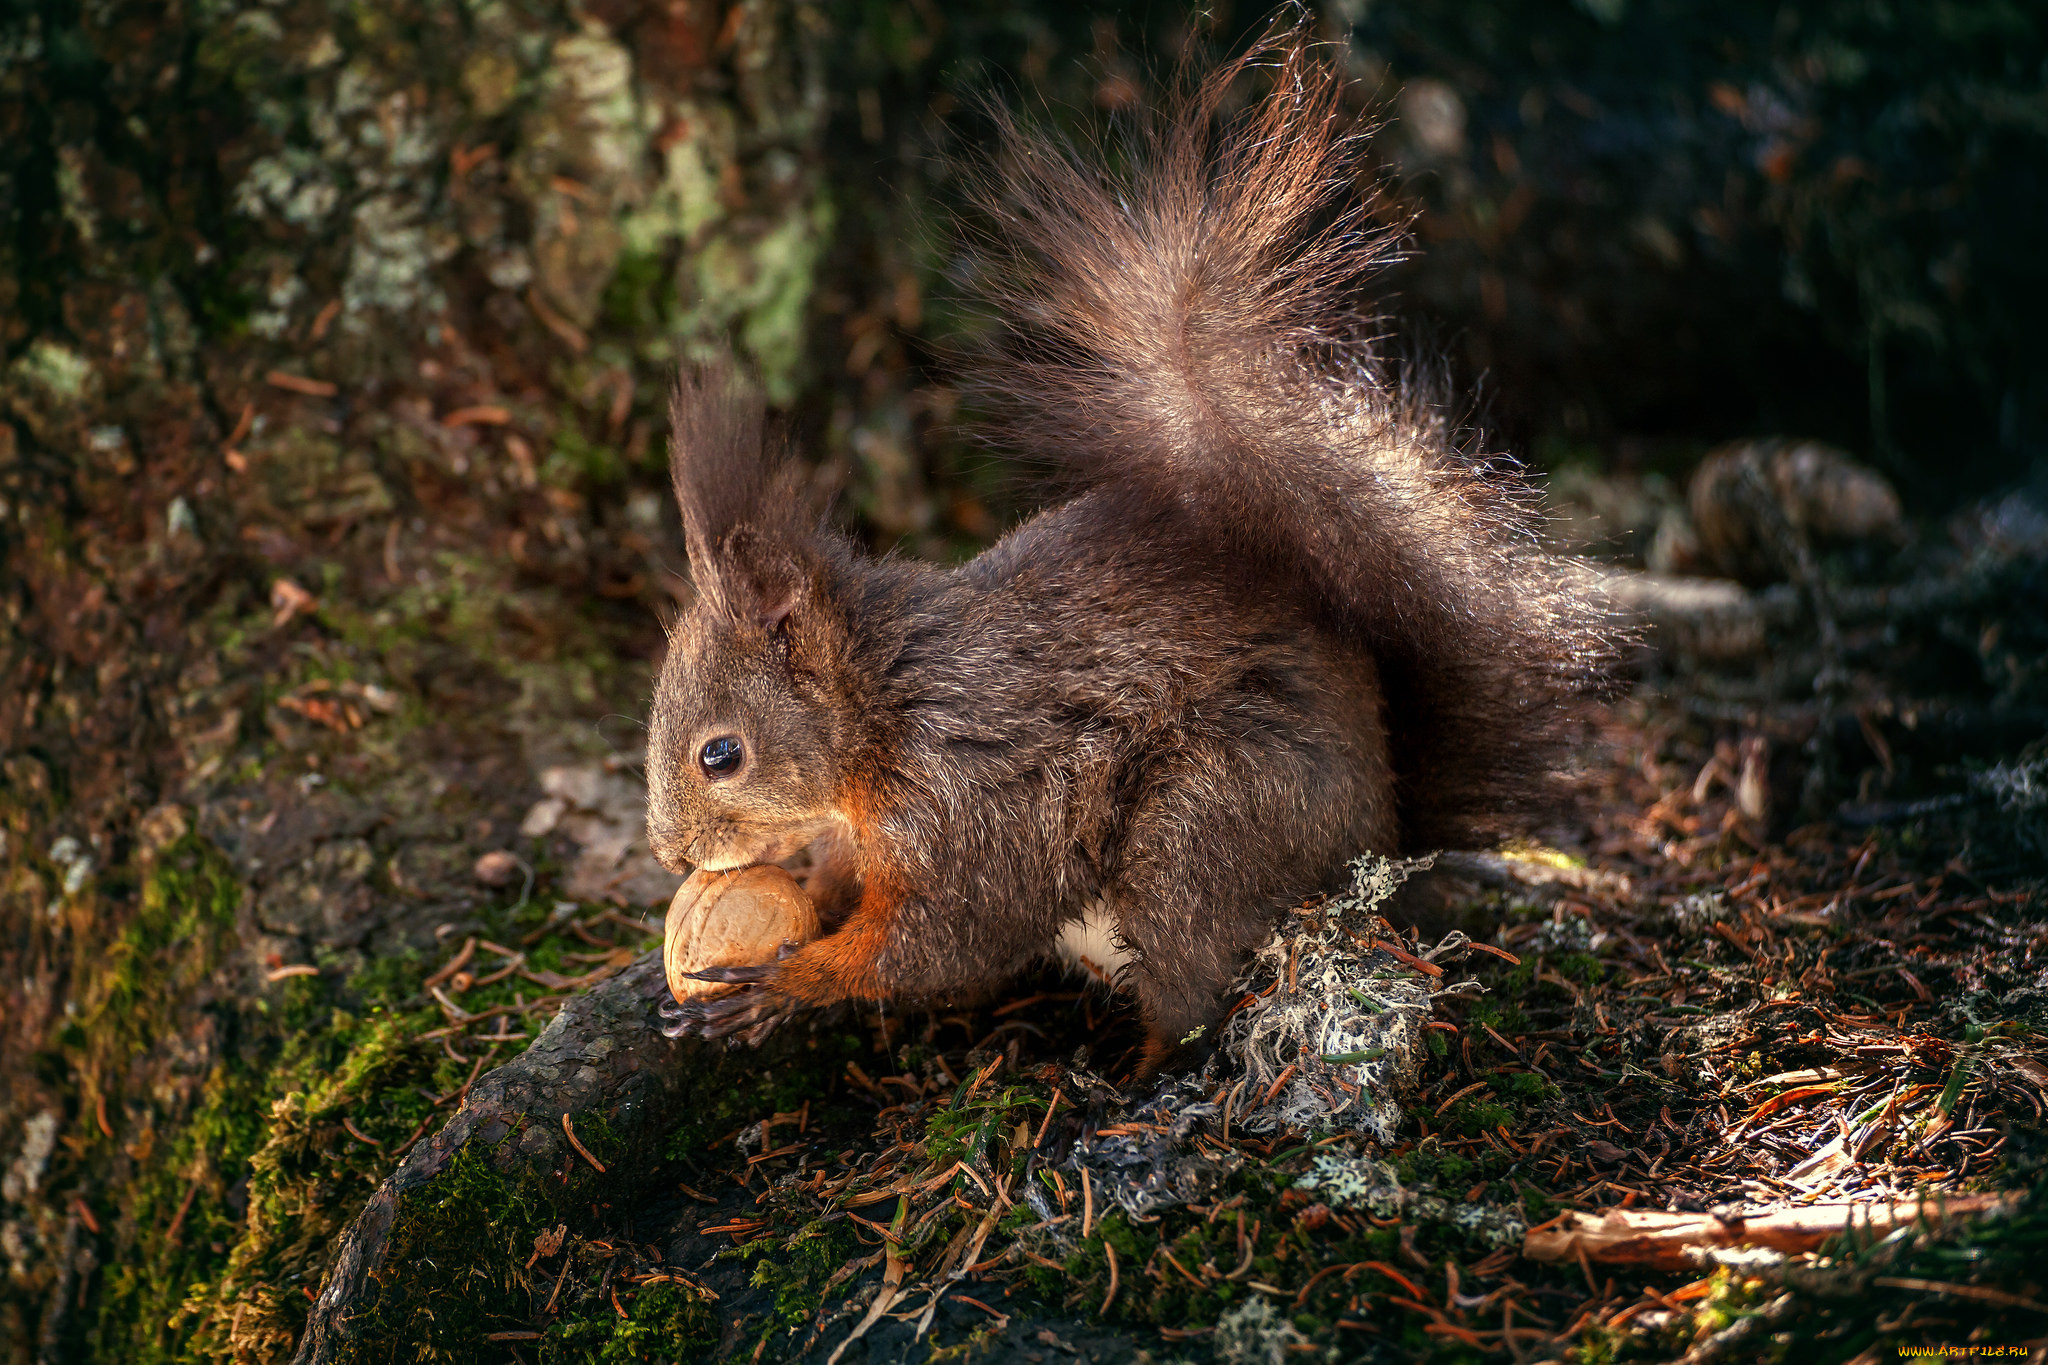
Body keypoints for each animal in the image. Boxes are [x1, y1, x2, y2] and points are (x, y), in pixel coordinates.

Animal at [643, 31, 1613, 1064]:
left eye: (720, 754)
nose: (668, 851)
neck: (886, 709)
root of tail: (1386, 837)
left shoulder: (971, 802)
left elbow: (942, 938)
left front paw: (786, 982)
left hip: (1202, 823)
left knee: (1191, 988)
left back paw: (1137, 1078)